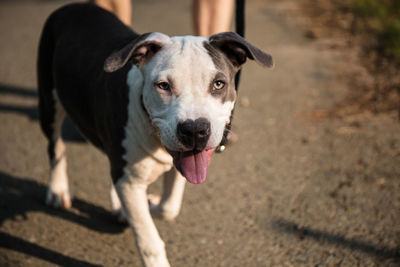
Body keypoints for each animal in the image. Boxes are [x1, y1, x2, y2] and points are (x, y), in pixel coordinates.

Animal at [37, 3, 274, 266]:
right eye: (163, 86)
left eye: (219, 84)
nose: (195, 129)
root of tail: (73, 6)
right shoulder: (130, 181)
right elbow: (149, 240)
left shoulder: (178, 162)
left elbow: (170, 207)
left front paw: (149, 204)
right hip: (49, 102)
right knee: (55, 146)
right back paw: (58, 190)